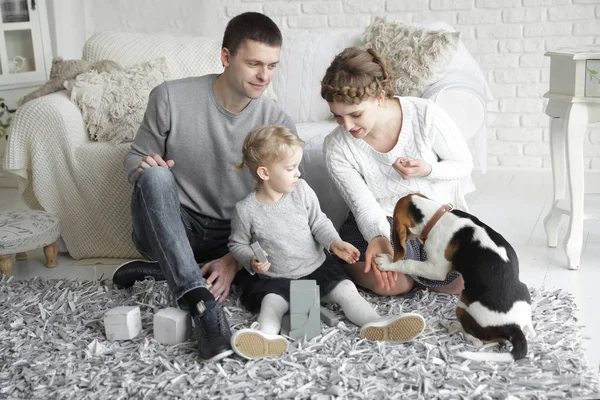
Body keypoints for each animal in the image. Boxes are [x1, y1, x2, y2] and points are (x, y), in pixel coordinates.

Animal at [376, 194, 536, 362]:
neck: (436, 217)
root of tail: (514, 327)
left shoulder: (435, 269)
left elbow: (409, 263)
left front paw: (387, 262)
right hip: (523, 289)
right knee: (530, 330)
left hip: (463, 304)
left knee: (477, 340)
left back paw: (454, 327)